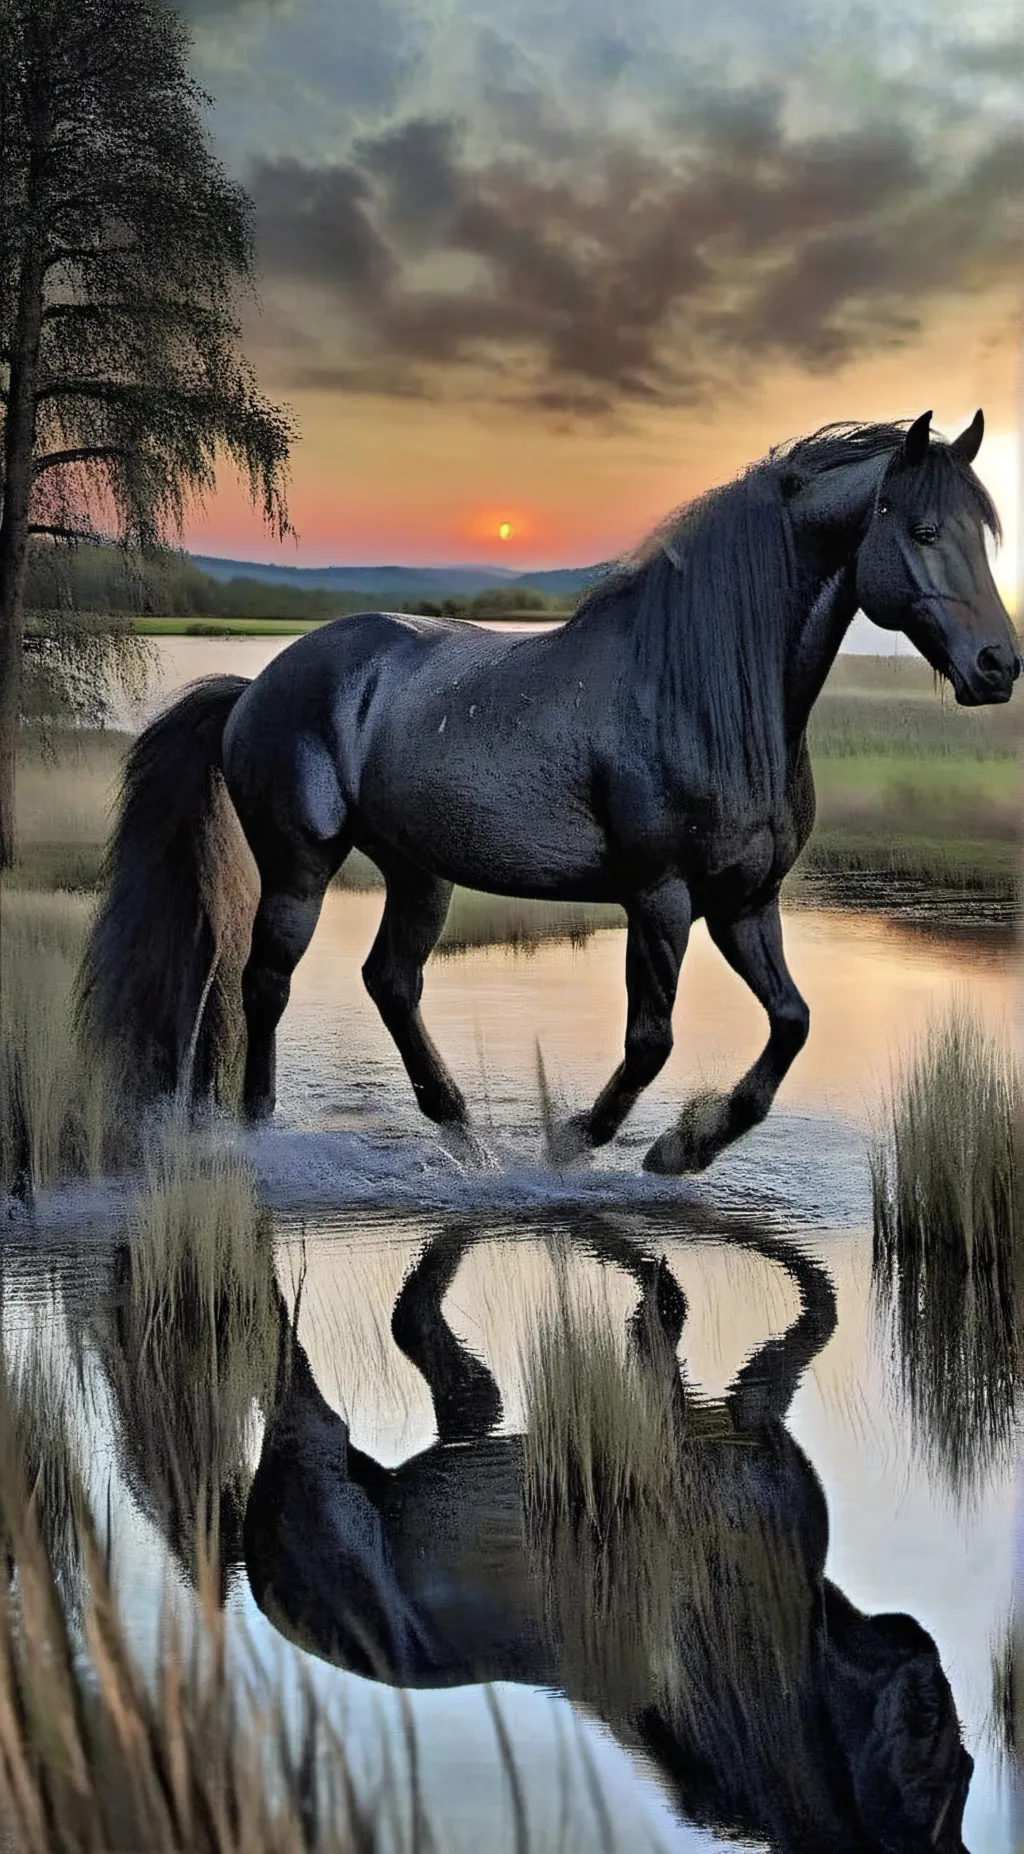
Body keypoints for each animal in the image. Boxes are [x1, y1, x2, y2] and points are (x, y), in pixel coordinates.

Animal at [79, 409, 1019, 1171]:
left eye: (984, 535)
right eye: (924, 529)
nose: (998, 666)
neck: (701, 692)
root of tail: (254, 686)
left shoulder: (746, 902)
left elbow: (792, 1022)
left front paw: (689, 1146)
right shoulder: (660, 897)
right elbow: (650, 1039)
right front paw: (582, 1141)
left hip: (418, 874)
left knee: (391, 981)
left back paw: (463, 1133)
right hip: (299, 871)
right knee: (264, 982)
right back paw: (258, 1131)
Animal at [242, 1218, 975, 1852]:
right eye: (949, 1759)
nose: (924, 1652)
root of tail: (260, 1573)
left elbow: (725, 1297)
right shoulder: (719, 1421)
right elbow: (751, 1298)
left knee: (426, 1338)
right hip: (313, 1427)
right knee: (303, 1330)